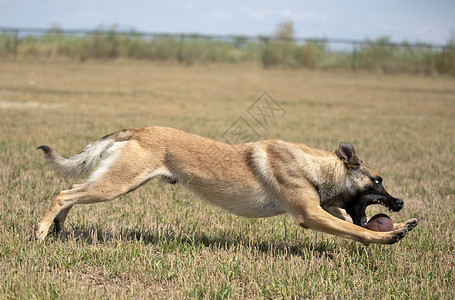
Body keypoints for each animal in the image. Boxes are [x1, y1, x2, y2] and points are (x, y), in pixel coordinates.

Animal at [35, 125, 420, 245]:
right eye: (378, 181)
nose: (400, 203)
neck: (313, 166)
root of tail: (139, 130)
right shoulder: (311, 214)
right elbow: (358, 229)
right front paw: (389, 235)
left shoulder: (324, 208)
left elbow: (354, 223)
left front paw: (400, 225)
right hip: (116, 185)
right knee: (62, 193)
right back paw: (40, 232)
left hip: (112, 182)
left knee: (70, 196)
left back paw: (58, 229)